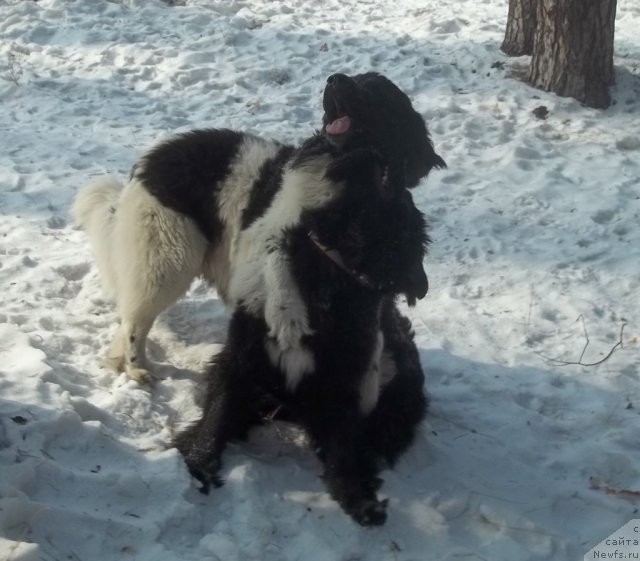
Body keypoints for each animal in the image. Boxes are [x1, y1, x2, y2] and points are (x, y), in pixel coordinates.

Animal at [72, 72, 444, 382]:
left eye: (375, 90)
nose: (334, 78)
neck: (348, 175)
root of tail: (147, 164)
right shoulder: (265, 233)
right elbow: (279, 269)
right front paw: (287, 320)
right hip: (169, 259)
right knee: (136, 320)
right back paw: (137, 369)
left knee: (130, 316)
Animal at [175, 144, 432, 524]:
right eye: (408, 238)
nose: (423, 288)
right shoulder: (241, 357)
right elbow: (218, 413)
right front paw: (198, 461)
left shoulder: (345, 380)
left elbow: (343, 445)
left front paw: (356, 497)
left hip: (399, 382)